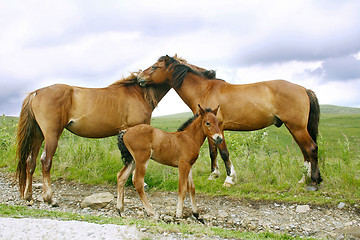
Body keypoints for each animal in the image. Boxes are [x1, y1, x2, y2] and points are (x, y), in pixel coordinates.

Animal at [15, 72, 170, 205]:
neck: (138, 93)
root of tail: (36, 92)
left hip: (38, 134)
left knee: (31, 161)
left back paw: (28, 196)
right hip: (51, 134)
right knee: (45, 161)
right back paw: (50, 198)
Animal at [136, 54, 322, 189]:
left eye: (155, 67)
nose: (139, 78)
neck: (205, 89)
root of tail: (303, 89)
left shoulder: (220, 128)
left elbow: (224, 152)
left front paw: (229, 179)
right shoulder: (209, 129)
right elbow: (213, 152)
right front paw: (213, 175)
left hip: (297, 127)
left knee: (311, 148)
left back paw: (313, 182)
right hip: (295, 128)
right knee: (305, 151)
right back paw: (303, 180)